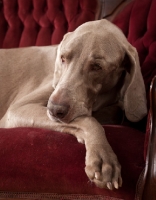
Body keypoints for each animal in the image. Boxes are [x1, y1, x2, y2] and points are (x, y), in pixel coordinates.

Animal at [0, 19, 147, 190]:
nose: (54, 110)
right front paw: (102, 155)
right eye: (63, 58)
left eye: (97, 67)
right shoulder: (17, 109)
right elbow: (89, 120)